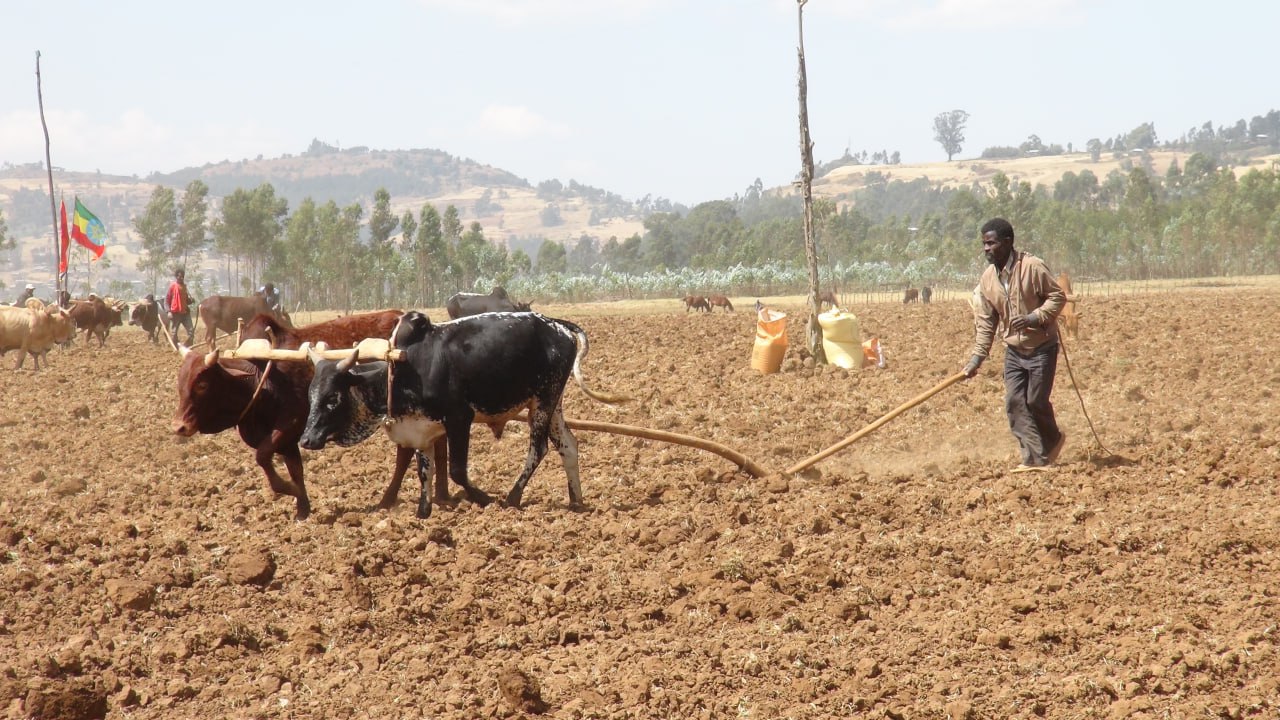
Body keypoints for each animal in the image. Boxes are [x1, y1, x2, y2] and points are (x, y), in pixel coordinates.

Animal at [309, 310, 628, 518]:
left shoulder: (459, 419)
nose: (306, 440)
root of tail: (557, 326)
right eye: (310, 394)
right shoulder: (421, 430)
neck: (403, 368)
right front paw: (423, 513)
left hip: (543, 401)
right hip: (550, 404)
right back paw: (576, 502)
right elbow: (424, 472)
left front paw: (484, 499)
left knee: (539, 448)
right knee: (568, 446)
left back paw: (513, 497)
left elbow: (456, 471)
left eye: (333, 398)